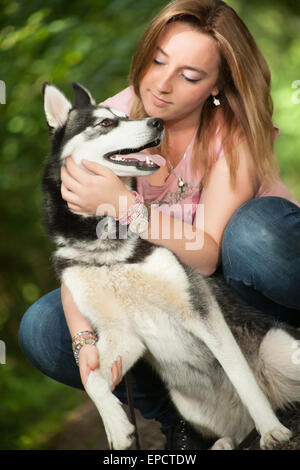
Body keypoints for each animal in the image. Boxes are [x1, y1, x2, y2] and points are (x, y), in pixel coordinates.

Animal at [42, 82, 300, 450]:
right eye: (105, 123)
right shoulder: (122, 334)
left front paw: (271, 430)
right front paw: (116, 426)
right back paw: (221, 443)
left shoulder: (200, 311)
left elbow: (241, 375)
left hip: (279, 347)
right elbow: (92, 378)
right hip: (188, 405)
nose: (157, 122)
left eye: (124, 116)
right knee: (232, 434)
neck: (106, 244)